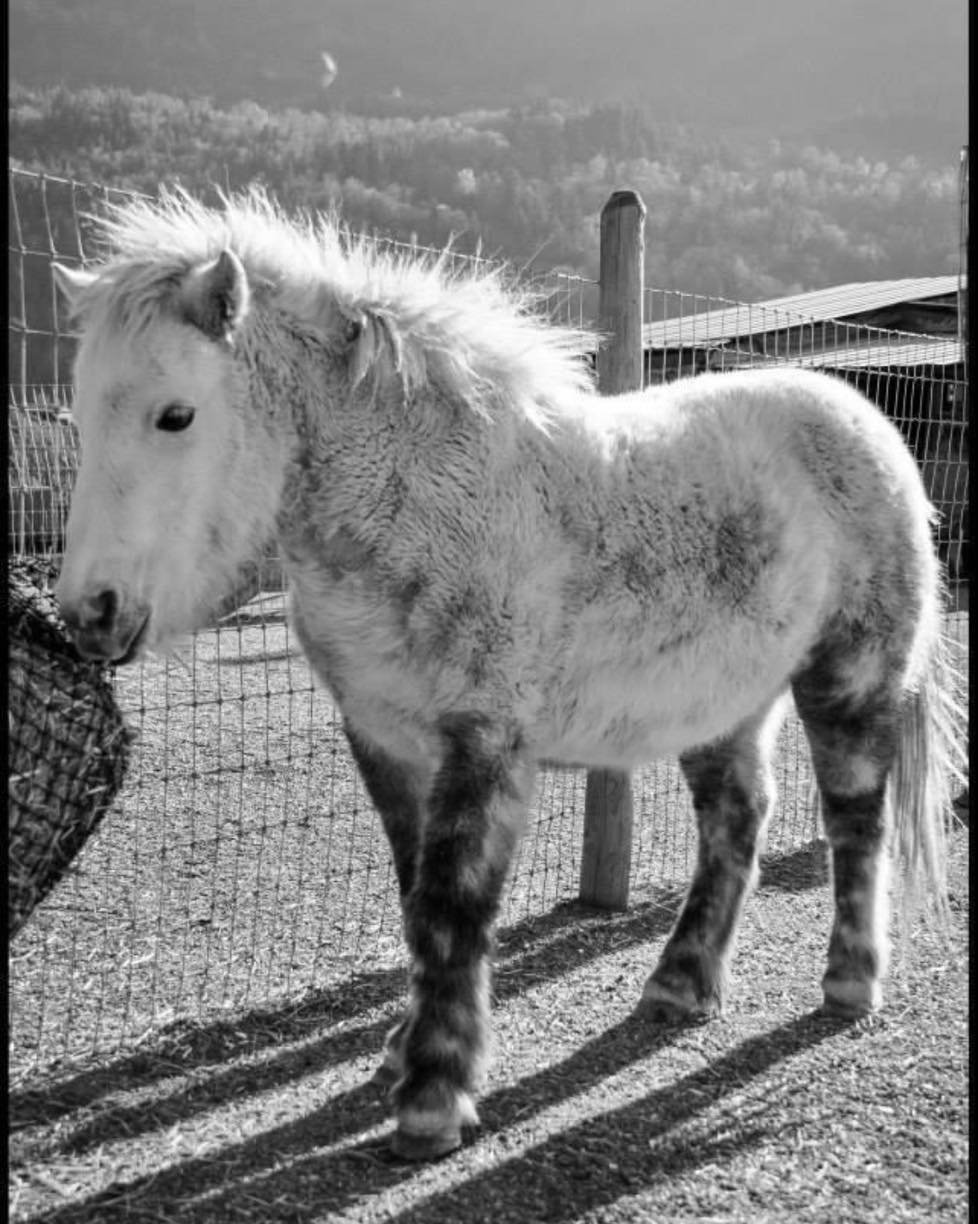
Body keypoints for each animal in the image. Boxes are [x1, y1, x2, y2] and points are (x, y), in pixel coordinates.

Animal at [49, 188, 959, 1155]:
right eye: (82, 417)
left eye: (175, 415)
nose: (90, 612)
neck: (417, 503)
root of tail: (862, 419)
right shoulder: (385, 738)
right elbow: (414, 897)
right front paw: (402, 1049)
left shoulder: (481, 740)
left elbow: (452, 907)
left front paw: (432, 1096)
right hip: (725, 700)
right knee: (736, 819)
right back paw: (680, 985)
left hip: (851, 679)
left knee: (857, 823)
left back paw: (850, 983)